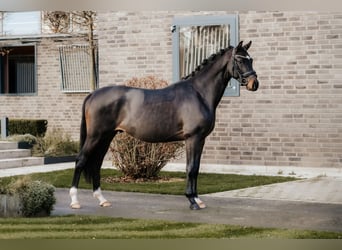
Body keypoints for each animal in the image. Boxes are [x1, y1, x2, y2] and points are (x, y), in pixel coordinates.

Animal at [69, 40, 258, 209]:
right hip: (95, 136)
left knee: (96, 163)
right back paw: (75, 201)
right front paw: (192, 201)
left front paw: (198, 200)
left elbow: (196, 168)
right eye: (239, 60)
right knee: (81, 160)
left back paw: (102, 200)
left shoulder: (201, 139)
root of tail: (92, 94)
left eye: (251, 59)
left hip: (107, 136)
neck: (199, 93)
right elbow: (190, 168)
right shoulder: (192, 138)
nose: (254, 83)